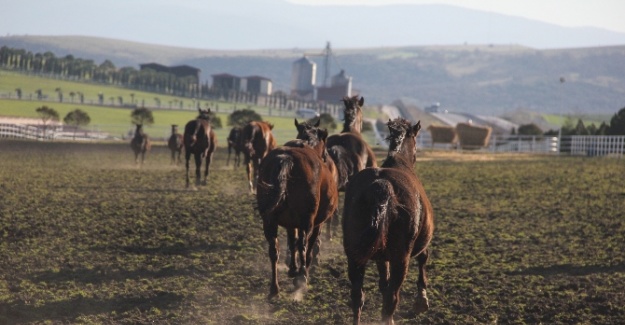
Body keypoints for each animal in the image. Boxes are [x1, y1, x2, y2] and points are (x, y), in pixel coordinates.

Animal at [256, 117, 338, 298]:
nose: (326, 157)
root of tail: (287, 158)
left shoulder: (290, 223)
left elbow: (291, 241)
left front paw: (292, 268)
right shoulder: (315, 223)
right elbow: (306, 246)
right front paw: (300, 271)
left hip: (269, 222)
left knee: (274, 250)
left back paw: (274, 289)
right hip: (307, 221)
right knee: (303, 245)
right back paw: (301, 279)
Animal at [342, 117, 434, 322]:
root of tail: (381, 184)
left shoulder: (381, 257)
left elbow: (383, 283)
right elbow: (423, 259)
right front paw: (421, 301)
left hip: (354, 256)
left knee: (357, 297)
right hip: (401, 259)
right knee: (392, 299)